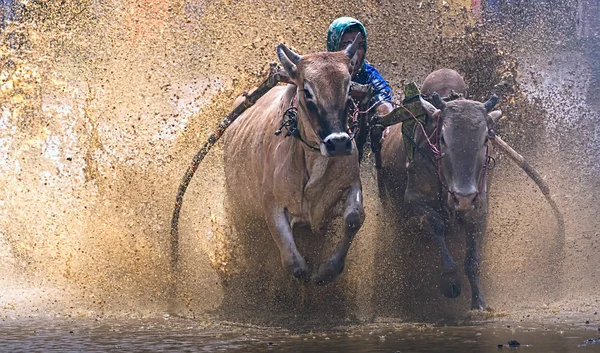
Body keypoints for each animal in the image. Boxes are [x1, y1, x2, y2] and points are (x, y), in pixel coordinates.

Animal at [223, 34, 366, 284]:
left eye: (349, 88)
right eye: (307, 91)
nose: (339, 142)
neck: (313, 159)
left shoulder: (351, 185)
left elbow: (354, 218)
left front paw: (326, 271)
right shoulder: (271, 205)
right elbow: (295, 265)